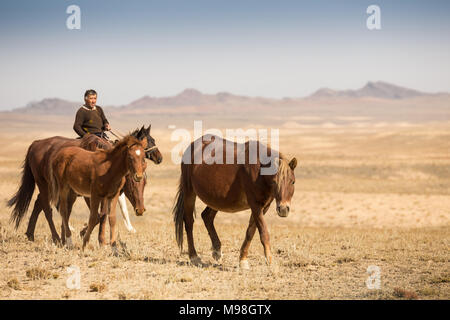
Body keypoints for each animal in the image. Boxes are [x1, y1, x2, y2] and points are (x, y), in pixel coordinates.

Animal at [171, 134, 296, 268]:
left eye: (292, 182)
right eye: (274, 182)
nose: (283, 209)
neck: (259, 170)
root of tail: (193, 145)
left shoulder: (264, 206)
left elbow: (250, 232)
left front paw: (243, 260)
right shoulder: (255, 205)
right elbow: (263, 232)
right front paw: (270, 261)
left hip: (216, 200)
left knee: (207, 216)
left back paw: (217, 250)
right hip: (190, 192)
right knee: (189, 222)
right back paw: (194, 257)